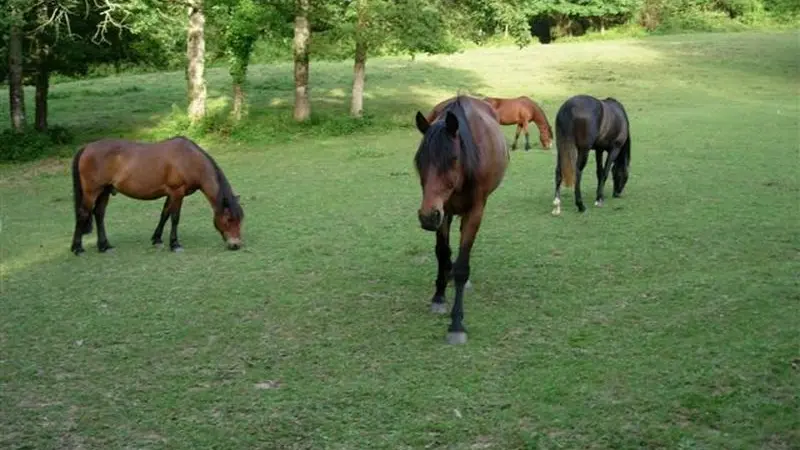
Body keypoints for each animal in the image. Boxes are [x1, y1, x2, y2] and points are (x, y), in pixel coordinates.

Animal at [69, 135, 244, 255]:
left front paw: (157, 239)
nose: (236, 245)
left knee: (99, 214)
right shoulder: (177, 192)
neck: (189, 159)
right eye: (229, 219)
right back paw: (77, 248)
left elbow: (164, 214)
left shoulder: (170, 194)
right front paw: (174, 244)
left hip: (104, 191)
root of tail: (86, 147)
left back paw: (104, 246)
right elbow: (174, 217)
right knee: (83, 214)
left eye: (240, 220)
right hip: (92, 192)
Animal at [416, 94, 510, 344]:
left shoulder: (474, 211)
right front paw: (439, 296)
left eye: (453, 158)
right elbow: (442, 253)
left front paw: (456, 324)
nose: (426, 217)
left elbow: (461, 266)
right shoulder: (443, 210)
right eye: (419, 160)